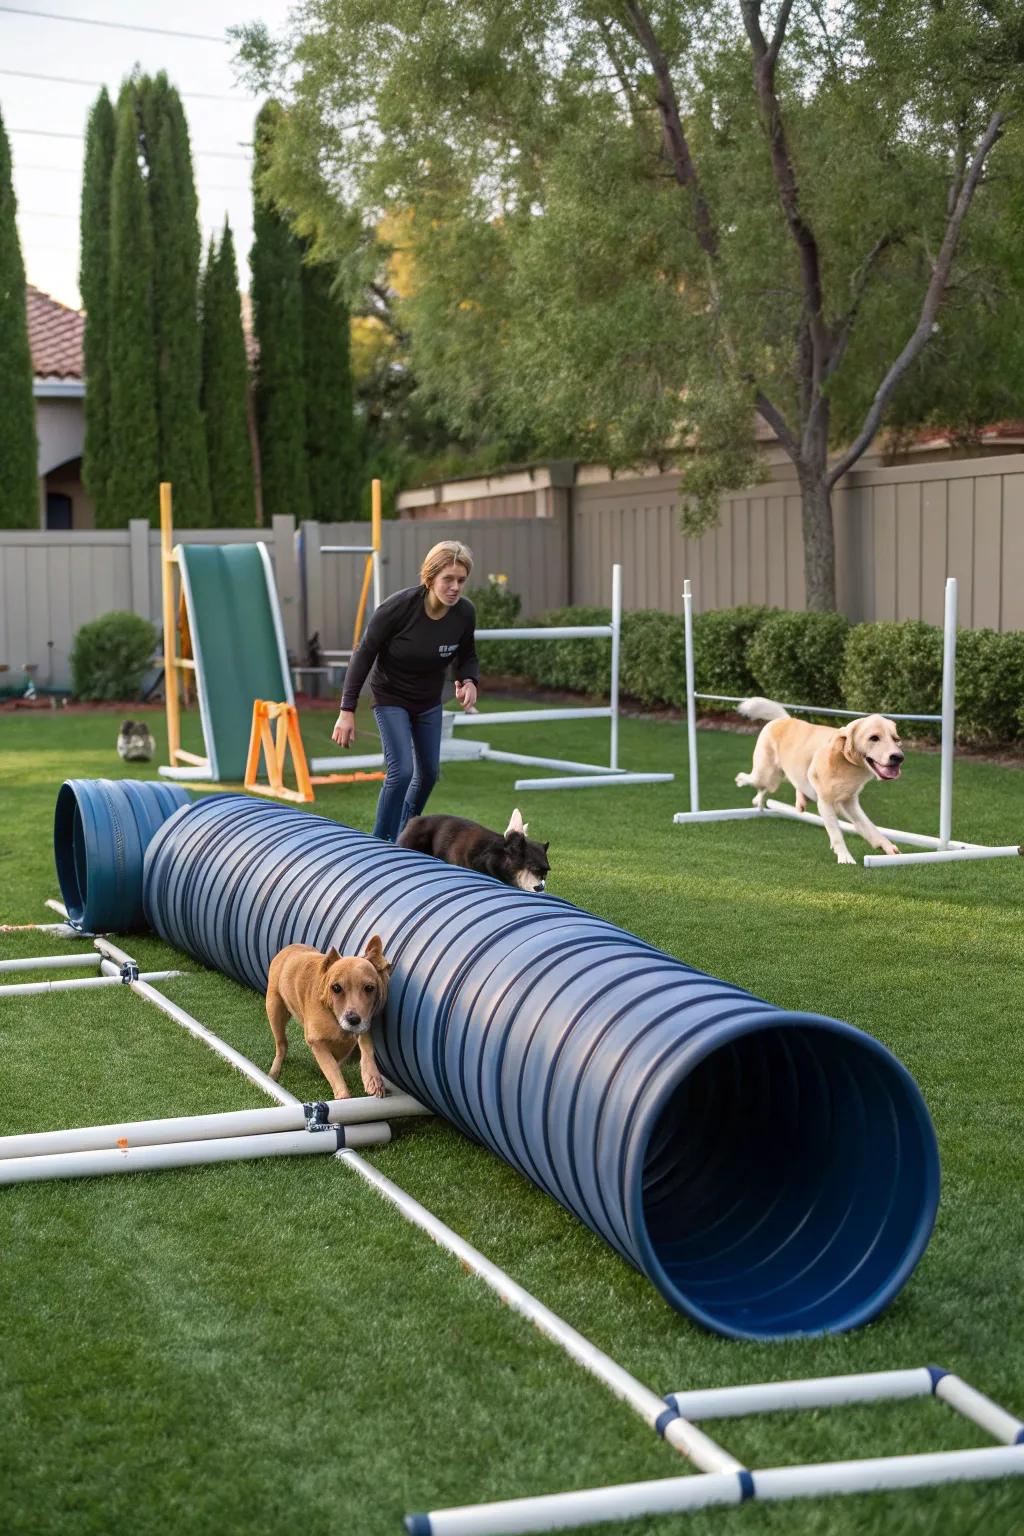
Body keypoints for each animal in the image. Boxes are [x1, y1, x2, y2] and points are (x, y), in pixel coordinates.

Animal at [267, 927, 389, 1099]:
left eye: (370, 988)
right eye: (336, 988)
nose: (353, 1019)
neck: (333, 1015)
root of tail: (287, 949)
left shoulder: (364, 1024)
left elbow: (366, 1047)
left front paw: (372, 1079)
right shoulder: (317, 1042)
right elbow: (333, 1070)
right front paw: (343, 1095)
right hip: (275, 1009)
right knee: (281, 1044)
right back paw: (274, 1072)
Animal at [736, 700, 902, 866]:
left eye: (896, 739)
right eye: (874, 738)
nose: (899, 757)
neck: (848, 763)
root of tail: (784, 719)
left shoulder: (849, 803)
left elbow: (869, 826)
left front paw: (888, 848)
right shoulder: (825, 802)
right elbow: (836, 833)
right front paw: (845, 857)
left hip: (775, 780)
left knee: (772, 789)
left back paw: (791, 802)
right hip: (766, 775)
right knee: (753, 780)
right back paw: (741, 782)